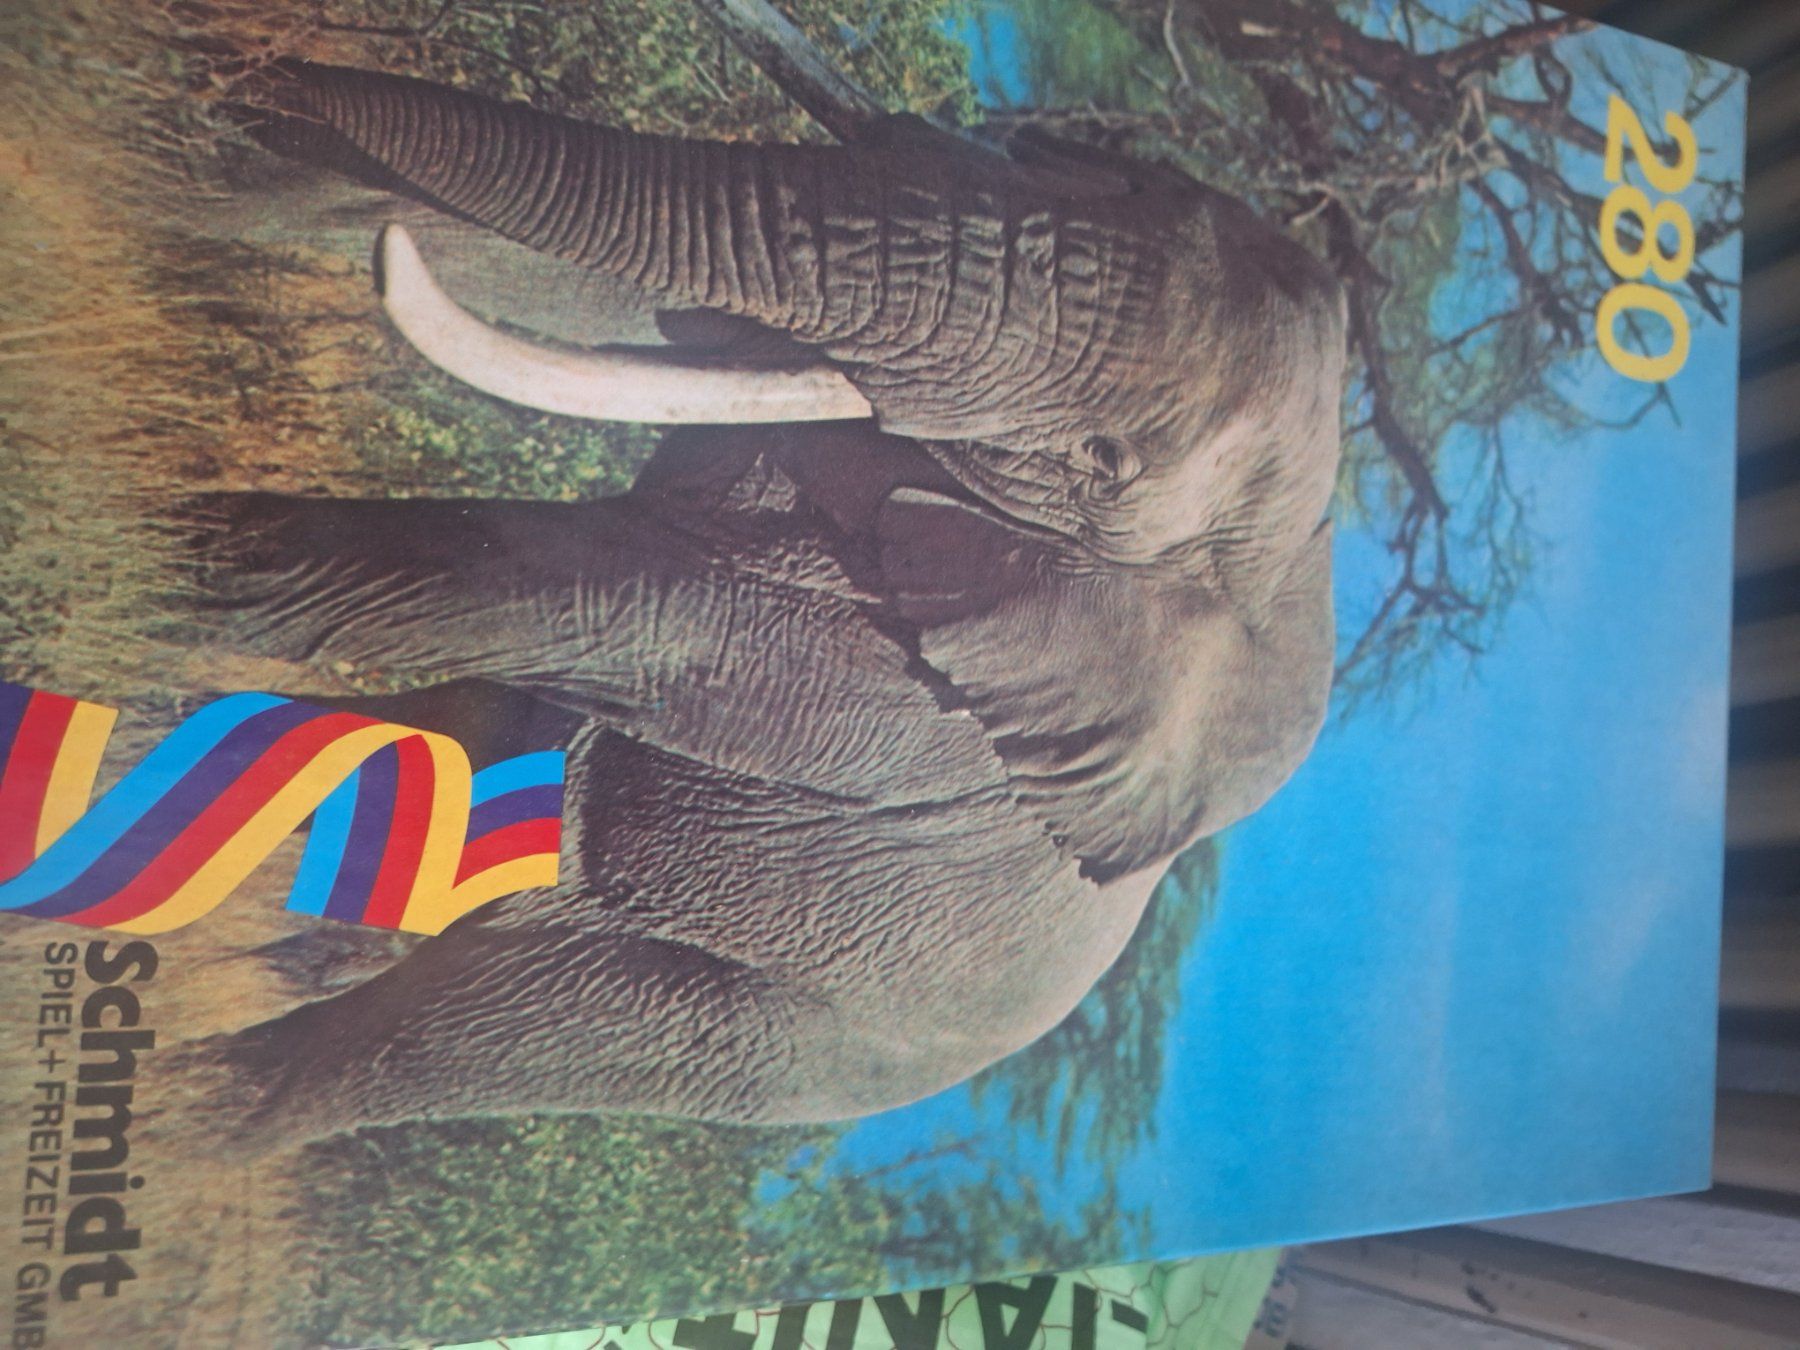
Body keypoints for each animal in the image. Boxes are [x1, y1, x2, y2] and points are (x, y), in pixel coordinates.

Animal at [167, 47, 1346, 1152]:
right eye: (1060, 159)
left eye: (1108, 460)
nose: (247, 79)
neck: (1292, 568)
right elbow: (577, 290)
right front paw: (223, 152)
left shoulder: (913, 694)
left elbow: (609, 593)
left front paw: (168, 564)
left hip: (749, 1029)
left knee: (426, 1035)